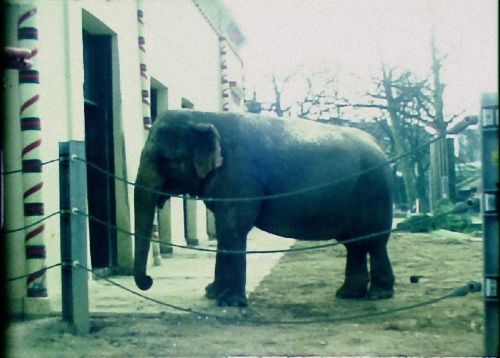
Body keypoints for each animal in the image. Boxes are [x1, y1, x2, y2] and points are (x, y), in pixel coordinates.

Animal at [134, 110, 394, 308]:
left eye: (164, 159)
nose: (149, 280)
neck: (203, 116)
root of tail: (379, 146)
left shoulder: (241, 177)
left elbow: (233, 228)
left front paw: (229, 303)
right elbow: (225, 229)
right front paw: (213, 294)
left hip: (375, 192)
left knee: (375, 242)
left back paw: (378, 295)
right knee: (355, 244)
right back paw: (348, 294)